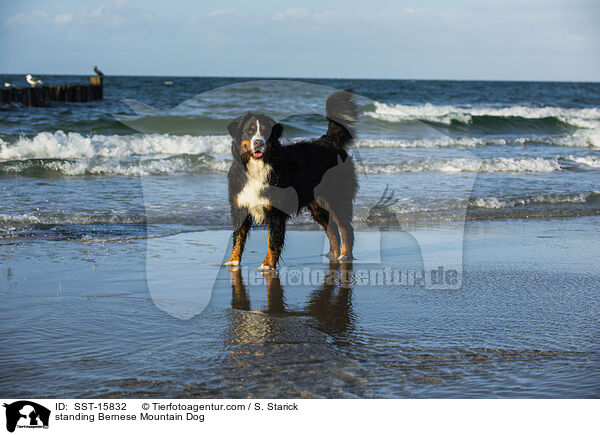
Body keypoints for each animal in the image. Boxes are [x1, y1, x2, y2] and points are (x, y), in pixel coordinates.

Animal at [224, 89, 356, 270]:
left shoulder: (276, 211)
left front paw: (267, 265)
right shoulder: (240, 207)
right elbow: (238, 238)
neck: (257, 167)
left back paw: (345, 255)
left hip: (337, 198)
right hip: (318, 205)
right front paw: (233, 261)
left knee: (345, 228)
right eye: (249, 131)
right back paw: (333, 255)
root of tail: (329, 142)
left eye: (265, 132)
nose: (258, 143)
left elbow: (272, 242)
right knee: (333, 230)